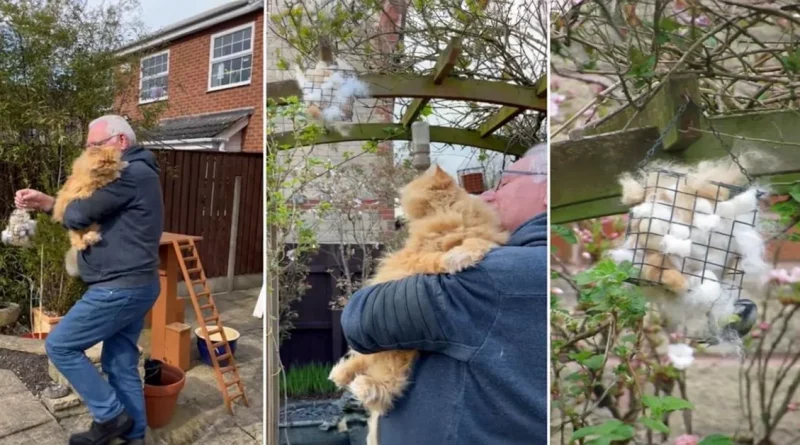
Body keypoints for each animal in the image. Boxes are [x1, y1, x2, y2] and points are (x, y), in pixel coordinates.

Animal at [52, 146, 128, 276]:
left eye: (112, 161)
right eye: (102, 162)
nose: (109, 165)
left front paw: (122, 164)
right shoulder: (96, 182)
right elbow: (109, 176)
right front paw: (120, 168)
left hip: (92, 225)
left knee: (87, 237)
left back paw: (92, 238)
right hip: (76, 227)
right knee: (77, 240)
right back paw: (83, 244)